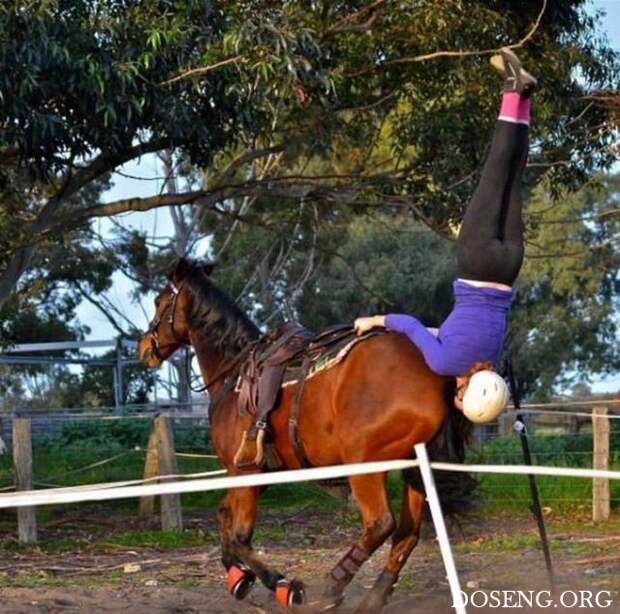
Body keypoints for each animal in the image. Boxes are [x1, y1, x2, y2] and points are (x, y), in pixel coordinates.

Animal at [138, 260, 468, 614]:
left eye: (158, 301)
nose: (143, 347)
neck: (234, 375)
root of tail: (434, 372)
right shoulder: (258, 473)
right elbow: (224, 515)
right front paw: (238, 576)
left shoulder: (244, 471)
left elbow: (240, 536)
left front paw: (283, 585)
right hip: (413, 467)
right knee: (406, 534)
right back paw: (372, 598)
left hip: (364, 465)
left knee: (380, 524)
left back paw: (332, 587)